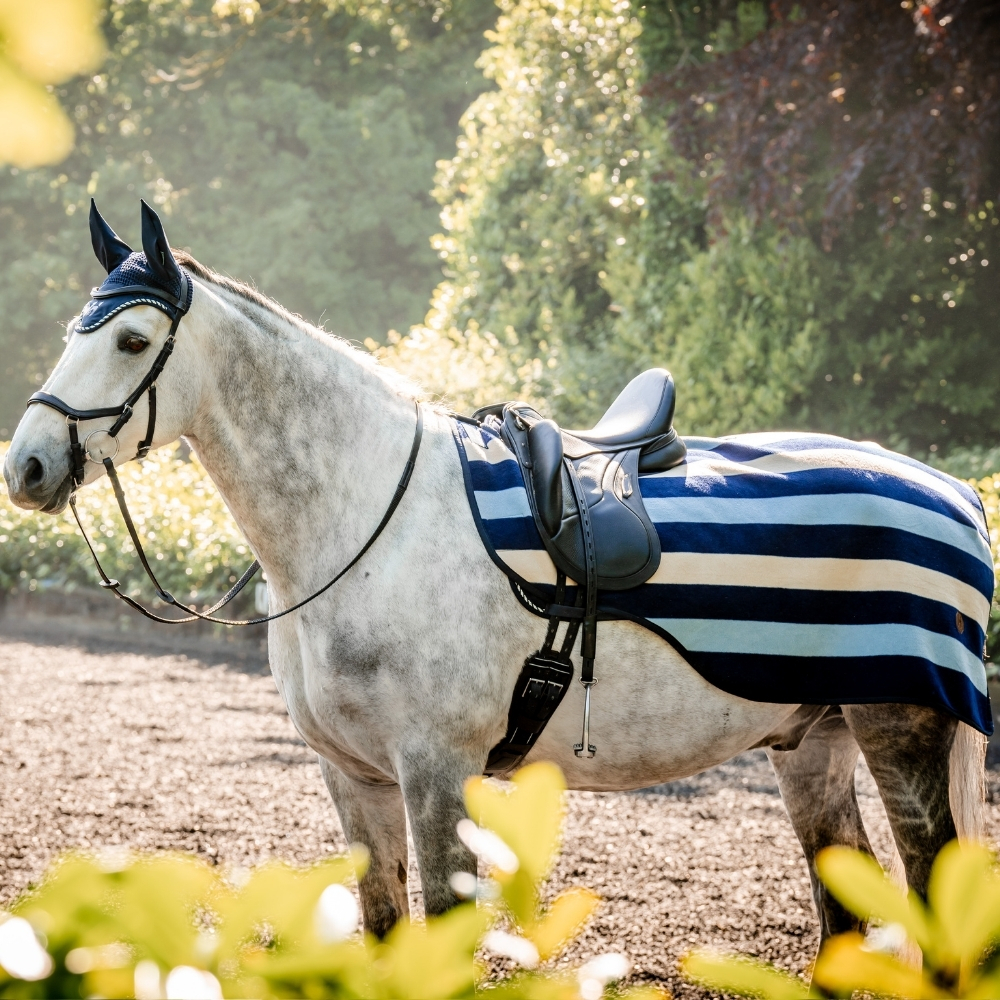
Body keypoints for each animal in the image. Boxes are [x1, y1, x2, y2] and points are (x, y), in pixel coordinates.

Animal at [3, 206, 988, 954]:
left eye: (133, 339)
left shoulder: (437, 771)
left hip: (898, 734)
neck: (369, 518)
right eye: (76, 333)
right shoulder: (354, 780)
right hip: (811, 743)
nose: (29, 466)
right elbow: (384, 929)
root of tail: (955, 492)